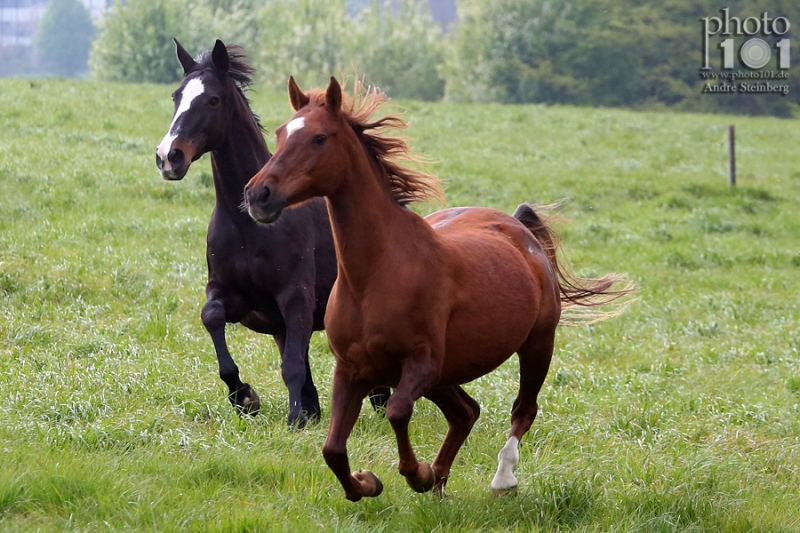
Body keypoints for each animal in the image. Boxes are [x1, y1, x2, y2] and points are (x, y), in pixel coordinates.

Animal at [155, 40, 388, 428]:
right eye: (176, 96)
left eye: (213, 100)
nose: (168, 157)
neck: (247, 226)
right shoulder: (234, 297)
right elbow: (212, 317)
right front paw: (244, 396)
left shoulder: (295, 297)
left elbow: (292, 365)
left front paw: (293, 419)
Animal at [244, 78, 632, 498]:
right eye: (281, 133)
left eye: (319, 137)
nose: (258, 194)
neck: (377, 274)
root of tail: (519, 228)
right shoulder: (351, 369)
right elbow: (332, 449)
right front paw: (369, 482)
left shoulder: (422, 363)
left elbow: (397, 411)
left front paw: (416, 473)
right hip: (450, 371)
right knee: (466, 412)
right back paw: (440, 479)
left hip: (536, 344)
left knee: (522, 409)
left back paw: (501, 478)